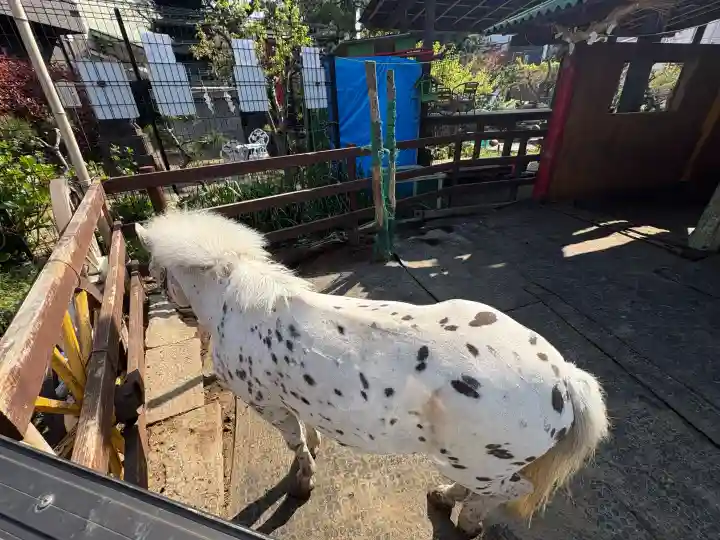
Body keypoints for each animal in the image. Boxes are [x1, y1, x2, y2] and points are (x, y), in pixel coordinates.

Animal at [135, 210, 609, 537]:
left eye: (156, 274)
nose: (177, 313)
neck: (236, 303)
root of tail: (565, 379)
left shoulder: (265, 403)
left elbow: (295, 442)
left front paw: (303, 482)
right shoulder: (293, 396)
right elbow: (308, 428)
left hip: (477, 463)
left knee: (510, 492)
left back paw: (467, 520)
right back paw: (444, 496)